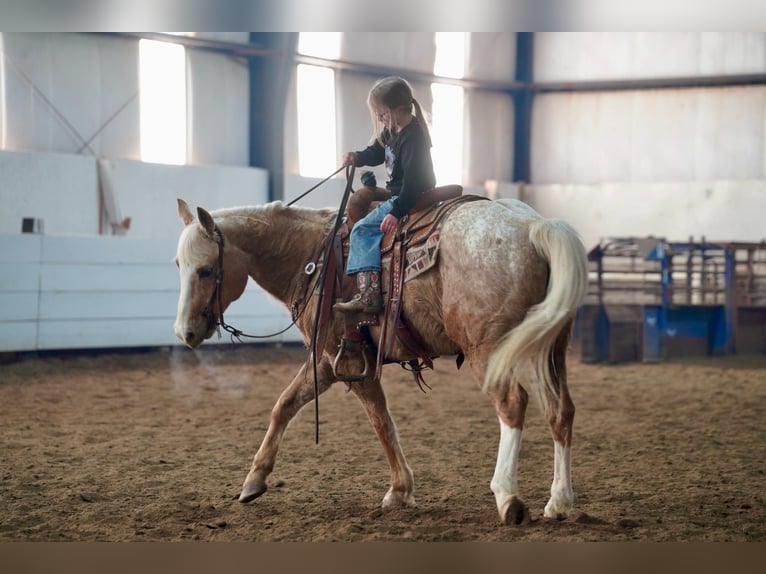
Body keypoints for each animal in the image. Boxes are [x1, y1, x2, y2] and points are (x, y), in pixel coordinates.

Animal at [174, 194, 592, 528]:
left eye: (206, 270)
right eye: (179, 265)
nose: (184, 333)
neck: (312, 258)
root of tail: (533, 226)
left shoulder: (349, 360)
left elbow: (380, 421)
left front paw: (399, 491)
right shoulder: (325, 361)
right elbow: (285, 405)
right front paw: (254, 480)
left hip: (489, 352)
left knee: (512, 405)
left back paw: (507, 497)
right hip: (545, 349)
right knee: (560, 410)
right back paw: (559, 502)